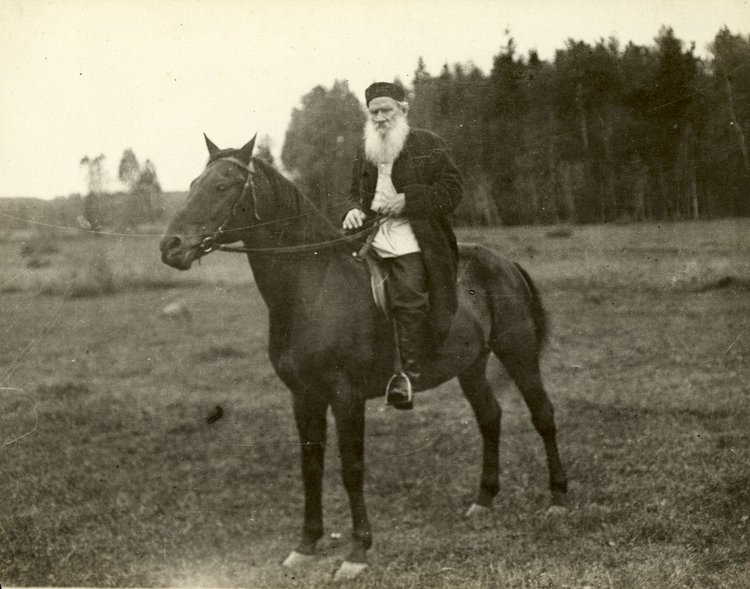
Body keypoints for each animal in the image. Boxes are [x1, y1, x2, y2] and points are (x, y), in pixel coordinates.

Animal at [160, 133, 568, 580]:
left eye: (221, 186)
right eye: (194, 183)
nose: (170, 246)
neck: (313, 287)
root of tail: (505, 261)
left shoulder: (346, 396)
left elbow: (351, 469)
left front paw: (357, 553)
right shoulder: (304, 396)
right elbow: (311, 465)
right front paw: (305, 546)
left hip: (518, 351)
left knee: (543, 415)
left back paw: (558, 501)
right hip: (471, 364)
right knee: (490, 417)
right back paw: (484, 500)